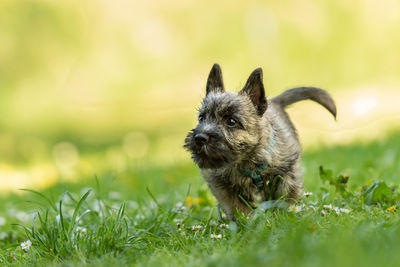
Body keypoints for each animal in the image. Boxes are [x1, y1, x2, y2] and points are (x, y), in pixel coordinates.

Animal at [184, 63, 338, 221]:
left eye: (231, 121)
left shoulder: (288, 173)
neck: (246, 161)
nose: (199, 137)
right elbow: (238, 207)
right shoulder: (222, 187)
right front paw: (247, 222)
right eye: (202, 118)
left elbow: (285, 197)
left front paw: (284, 218)